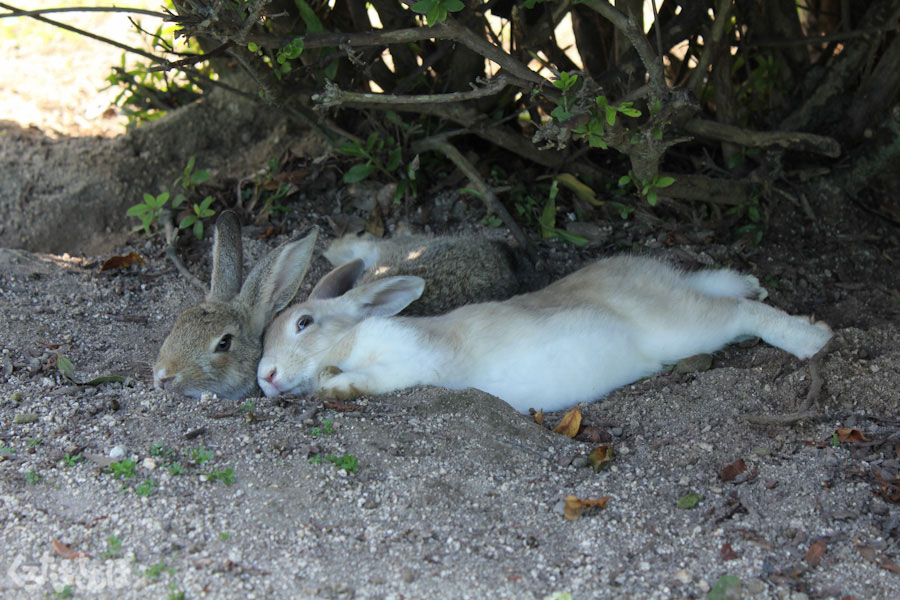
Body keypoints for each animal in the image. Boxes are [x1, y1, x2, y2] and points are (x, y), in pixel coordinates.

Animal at [256, 253, 832, 412]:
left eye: (303, 323)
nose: (265, 377)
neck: (345, 342)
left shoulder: (417, 359)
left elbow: (379, 377)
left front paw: (336, 385)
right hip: (679, 296)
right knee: (720, 287)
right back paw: (752, 282)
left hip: (681, 329)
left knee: (740, 314)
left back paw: (814, 339)